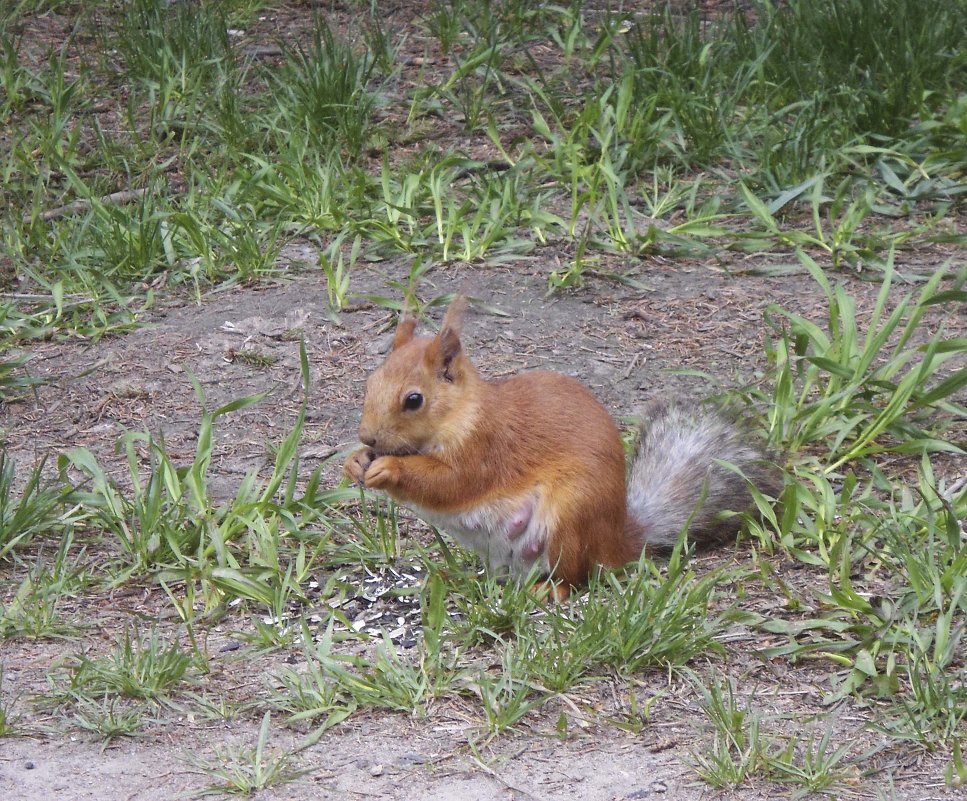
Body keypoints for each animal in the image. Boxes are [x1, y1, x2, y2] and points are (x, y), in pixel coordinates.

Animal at [344, 296, 784, 596]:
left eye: (414, 400)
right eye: (370, 382)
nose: (368, 437)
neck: (462, 413)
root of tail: (616, 543)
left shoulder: (487, 448)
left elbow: (450, 484)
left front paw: (389, 469)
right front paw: (354, 462)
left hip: (571, 517)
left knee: (576, 577)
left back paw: (548, 591)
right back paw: (458, 576)